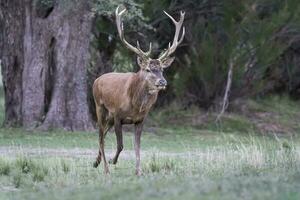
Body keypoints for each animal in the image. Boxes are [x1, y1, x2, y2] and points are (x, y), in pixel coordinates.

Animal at [92, 5, 184, 175]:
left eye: (162, 69)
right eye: (148, 69)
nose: (162, 82)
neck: (136, 106)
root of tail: (97, 80)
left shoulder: (140, 119)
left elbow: (137, 147)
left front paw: (138, 171)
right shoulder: (118, 115)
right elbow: (121, 145)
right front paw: (113, 160)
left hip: (108, 116)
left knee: (103, 134)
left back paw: (96, 162)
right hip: (100, 106)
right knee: (101, 136)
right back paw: (106, 169)